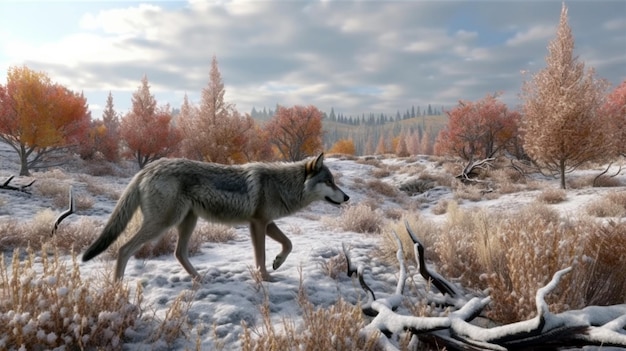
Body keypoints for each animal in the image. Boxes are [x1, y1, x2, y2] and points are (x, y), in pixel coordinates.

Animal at [80, 154, 348, 284]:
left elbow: (288, 244)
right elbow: (260, 257)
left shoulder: (267, 223)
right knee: (123, 249)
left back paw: (199, 278)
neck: (282, 185)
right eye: (329, 181)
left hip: (187, 222)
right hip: (162, 225)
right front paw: (266, 277)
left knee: (179, 253)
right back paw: (116, 288)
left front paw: (277, 263)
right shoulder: (257, 224)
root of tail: (147, 169)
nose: (347, 197)